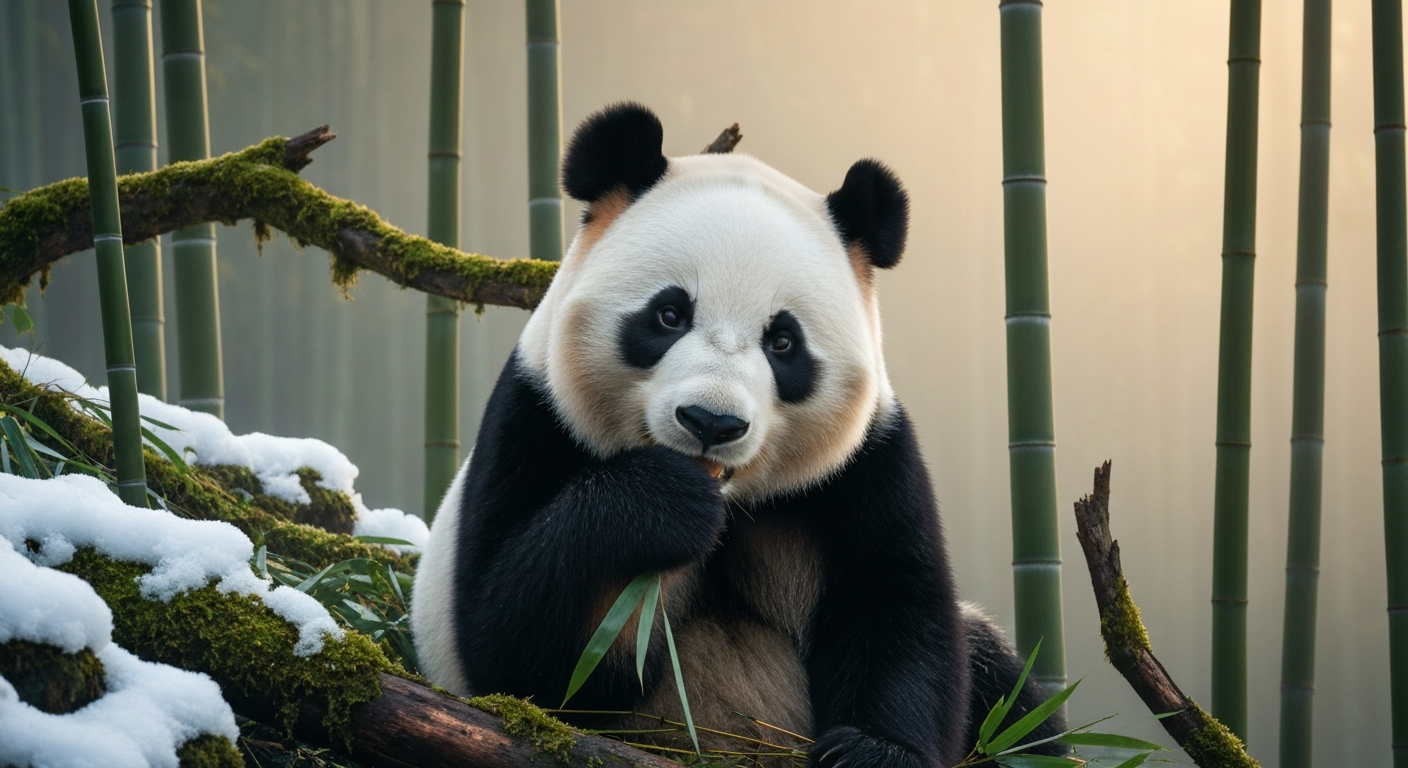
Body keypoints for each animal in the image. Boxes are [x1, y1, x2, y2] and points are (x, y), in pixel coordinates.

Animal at [411, 103, 1065, 767]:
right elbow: (516, 647)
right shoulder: (535, 418)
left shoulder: (867, 464)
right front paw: (658, 505)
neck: (732, 503)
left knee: (1007, 689)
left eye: (783, 341)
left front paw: (872, 750)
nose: (711, 422)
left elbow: (895, 609)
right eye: (669, 314)